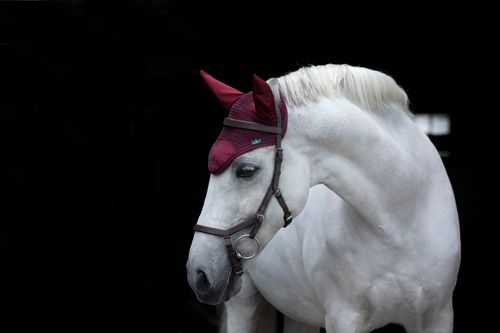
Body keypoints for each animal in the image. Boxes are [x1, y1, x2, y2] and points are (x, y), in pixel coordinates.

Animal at [187, 63, 460, 330]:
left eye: (246, 170)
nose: (197, 273)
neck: (399, 221)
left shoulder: (438, 317)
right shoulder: (344, 317)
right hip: (244, 305)